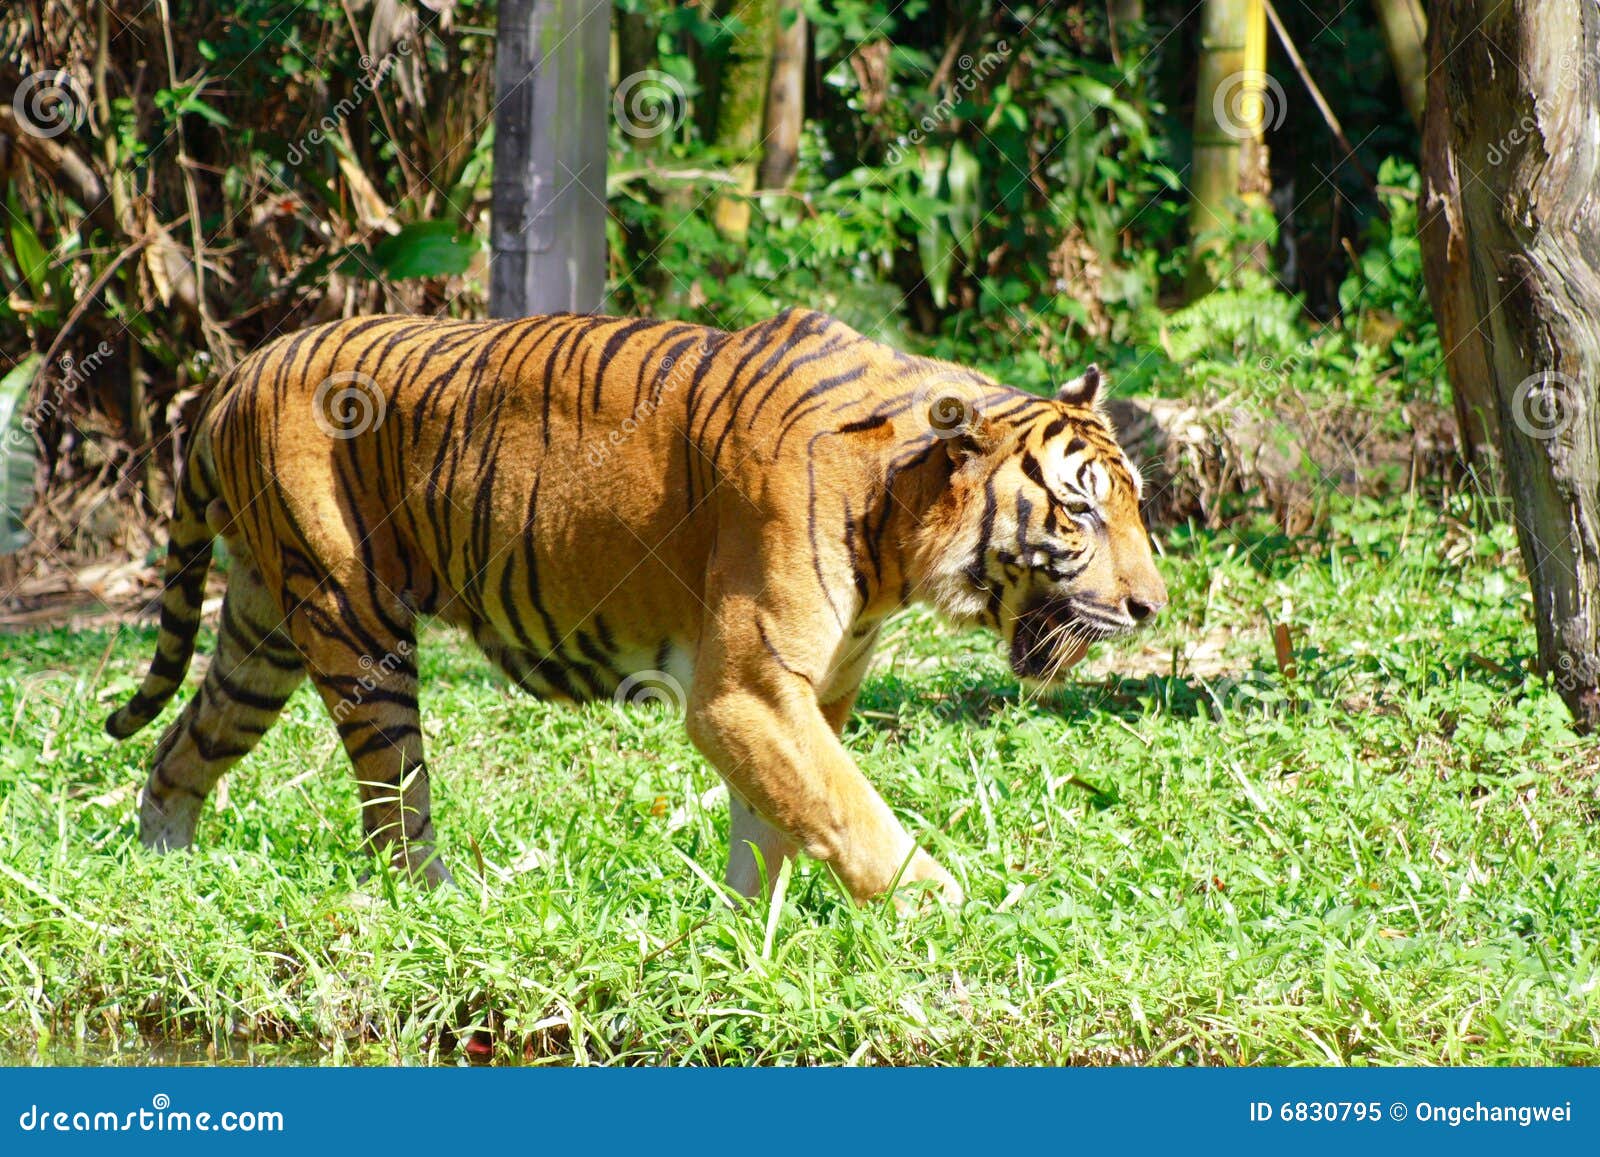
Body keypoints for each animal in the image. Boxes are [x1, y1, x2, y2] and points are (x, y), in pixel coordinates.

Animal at [106, 308, 1166, 906]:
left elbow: (778, 817)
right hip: (353, 622)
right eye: (1080, 511)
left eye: (1136, 505)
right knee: (390, 805)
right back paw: (441, 904)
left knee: (182, 749)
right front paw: (945, 907)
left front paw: (745, 937)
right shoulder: (746, 690)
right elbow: (849, 809)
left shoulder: (807, 695)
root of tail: (237, 371)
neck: (896, 528)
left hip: (264, 631)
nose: (1153, 607)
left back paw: (165, 880)